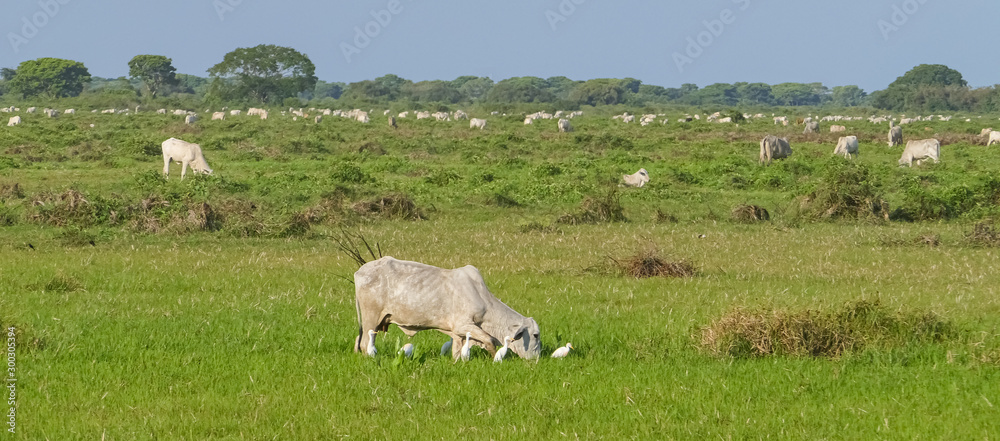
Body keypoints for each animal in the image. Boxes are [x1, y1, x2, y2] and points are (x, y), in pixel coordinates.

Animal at [354, 257, 542, 360]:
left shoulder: (458, 333)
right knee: (365, 344)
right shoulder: (464, 325)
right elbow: (489, 341)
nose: (537, 359)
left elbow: (457, 351)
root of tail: (359, 272)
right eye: (535, 335)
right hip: (371, 317)